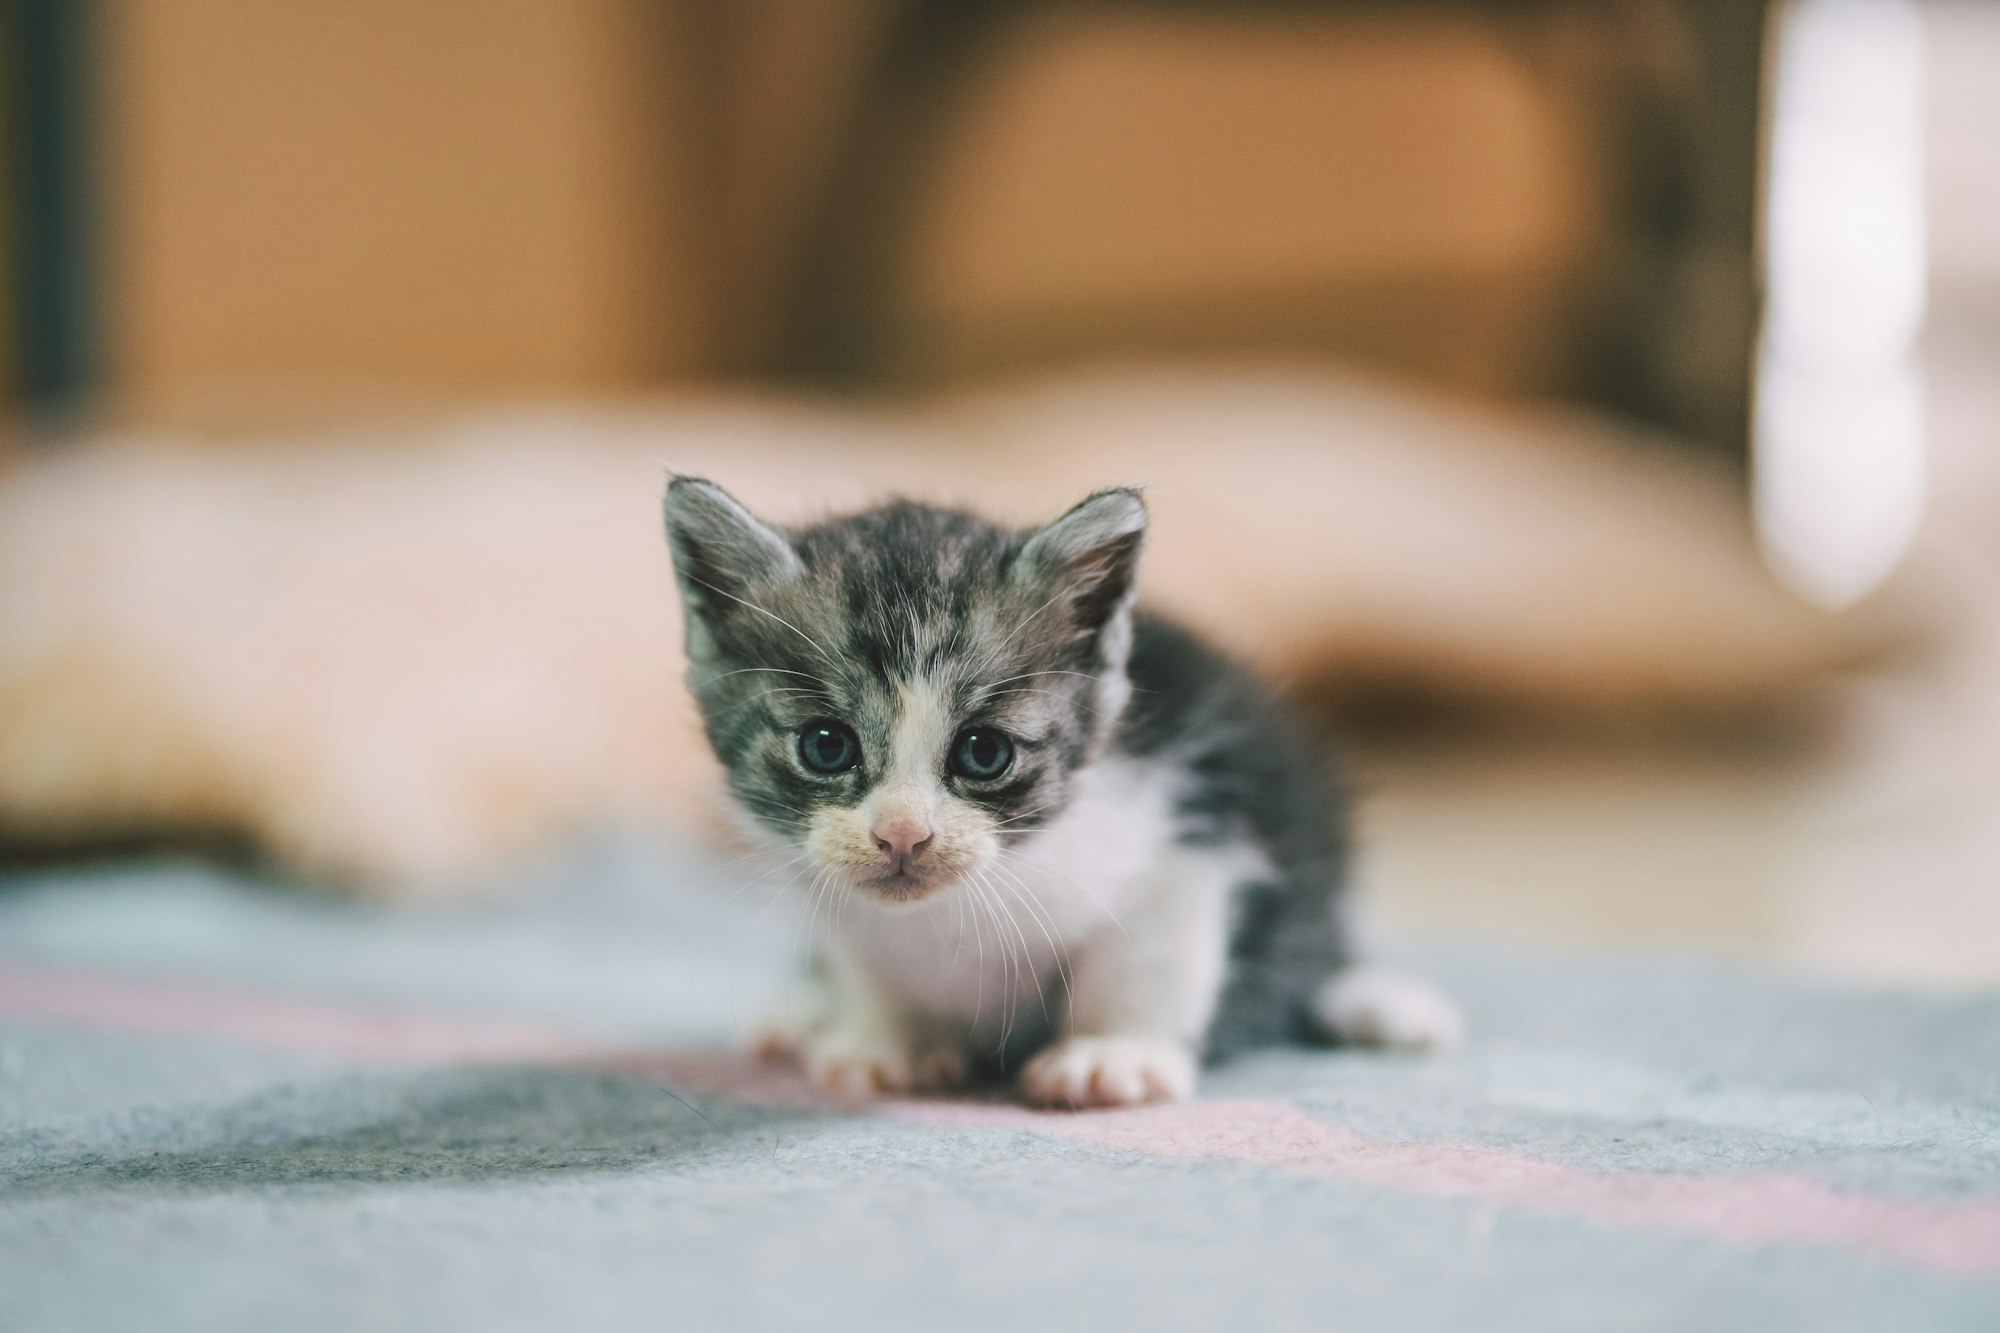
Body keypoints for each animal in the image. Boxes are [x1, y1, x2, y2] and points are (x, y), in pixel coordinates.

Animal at [664, 478, 1464, 1096]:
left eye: (984, 752)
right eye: (825, 745)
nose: (902, 835)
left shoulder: (1187, 828)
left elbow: (1143, 960)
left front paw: (1114, 1052)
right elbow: (869, 958)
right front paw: (888, 1039)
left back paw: (1382, 1002)